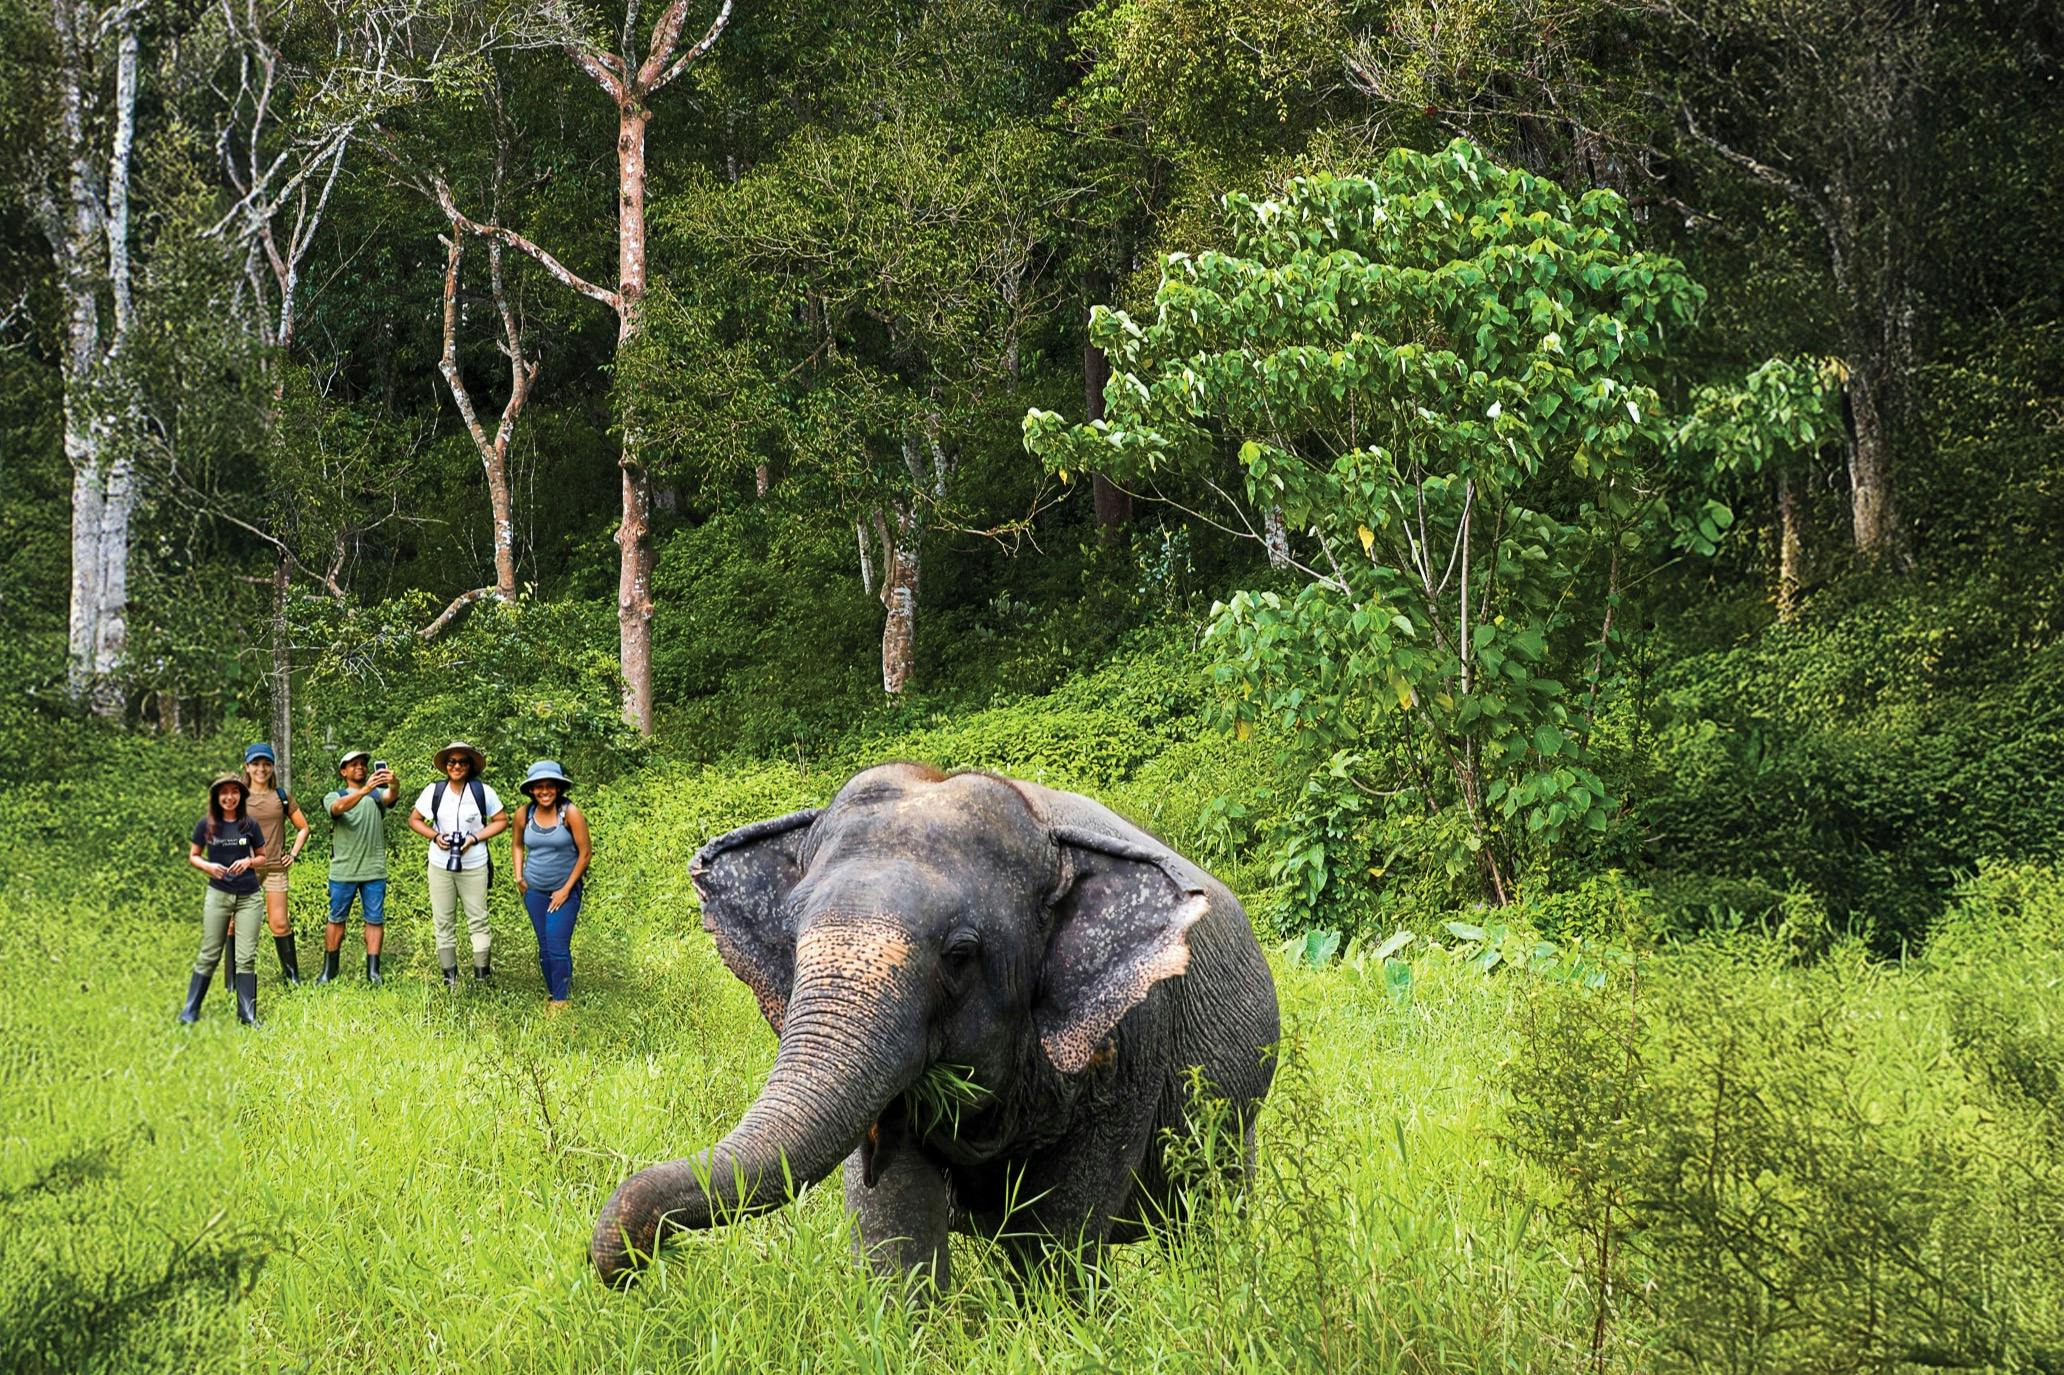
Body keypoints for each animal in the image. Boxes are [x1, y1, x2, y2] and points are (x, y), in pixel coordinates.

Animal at [590, 762, 1280, 1291]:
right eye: (791, 936)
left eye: (959, 954)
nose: (636, 1263)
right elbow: (893, 1214)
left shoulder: (1134, 1037)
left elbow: (1059, 1227)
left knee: (1207, 1210)